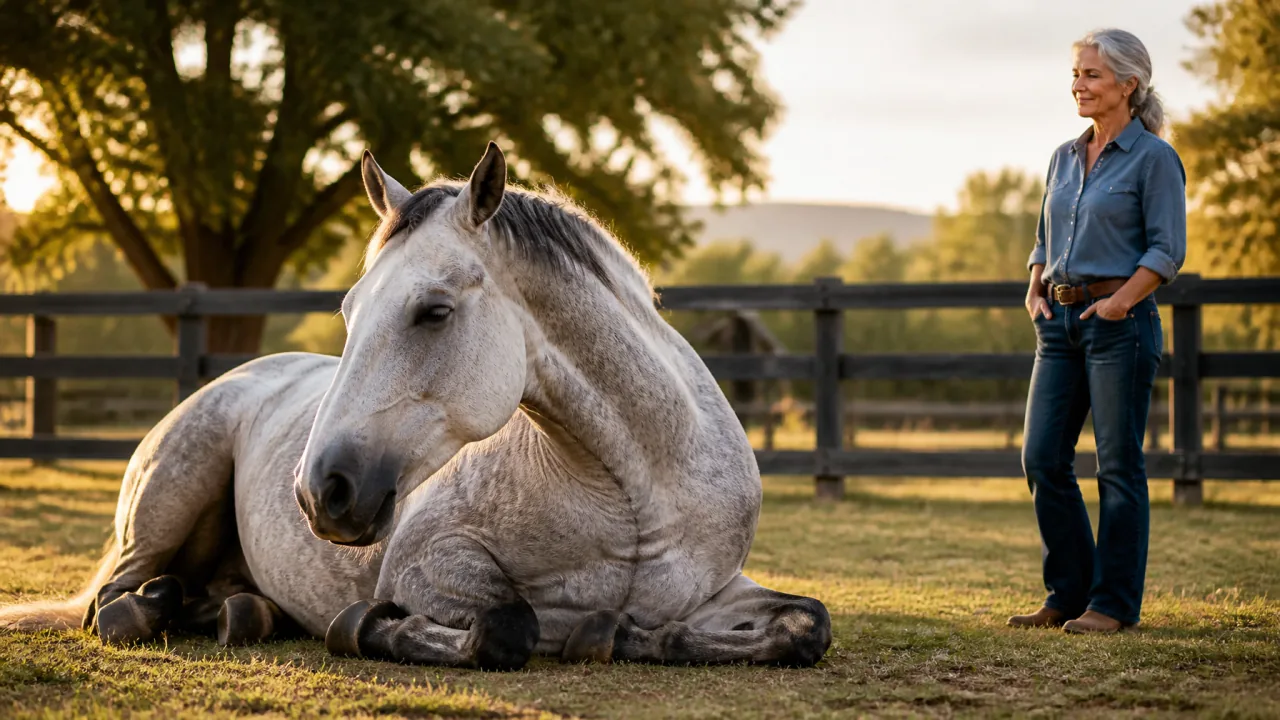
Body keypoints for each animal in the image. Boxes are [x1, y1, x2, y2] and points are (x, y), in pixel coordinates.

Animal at [0, 143, 832, 670]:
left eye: (432, 311)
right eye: (348, 309)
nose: (320, 491)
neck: (634, 493)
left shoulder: (721, 590)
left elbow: (805, 623)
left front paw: (619, 632)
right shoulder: (425, 564)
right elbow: (507, 625)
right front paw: (373, 628)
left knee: (205, 597)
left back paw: (237, 614)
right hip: (166, 504)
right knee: (112, 604)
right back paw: (160, 608)